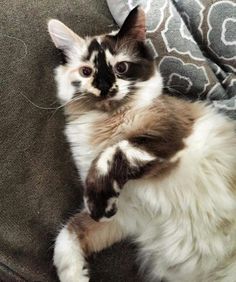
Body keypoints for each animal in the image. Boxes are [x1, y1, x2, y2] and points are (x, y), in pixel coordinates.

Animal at [47, 6, 236, 282]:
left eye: (121, 68)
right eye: (87, 72)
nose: (104, 87)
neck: (107, 124)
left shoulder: (165, 138)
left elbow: (112, 153)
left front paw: (98, 199)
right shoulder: (124, 216)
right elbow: (66, 235)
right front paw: (75, 276)